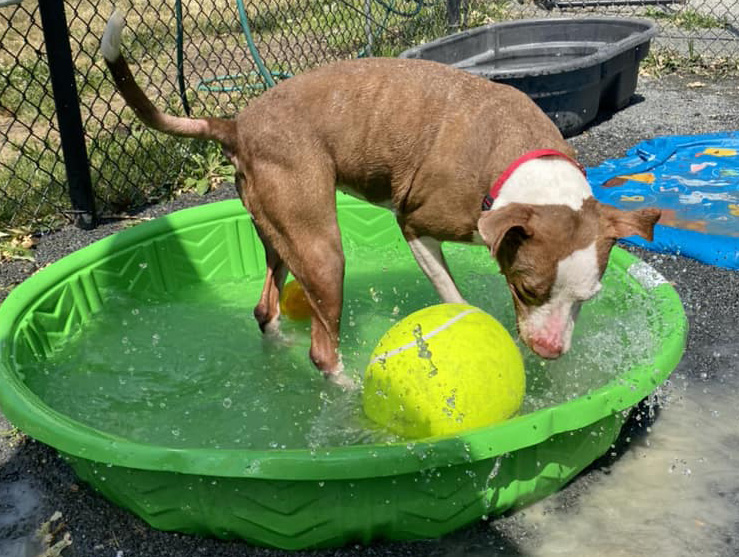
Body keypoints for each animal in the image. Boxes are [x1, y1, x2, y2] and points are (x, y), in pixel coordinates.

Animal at [101, 11, 660, 386]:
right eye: (526, 288)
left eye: (588, 299)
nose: (549, 350)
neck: (520, 163)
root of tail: (235, 123)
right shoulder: (416, 226)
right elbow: (454, 295)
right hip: (322, 249)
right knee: (322, 349)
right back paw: (350, 396)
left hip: (279, 231)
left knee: (265, 308)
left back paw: (279, 347)